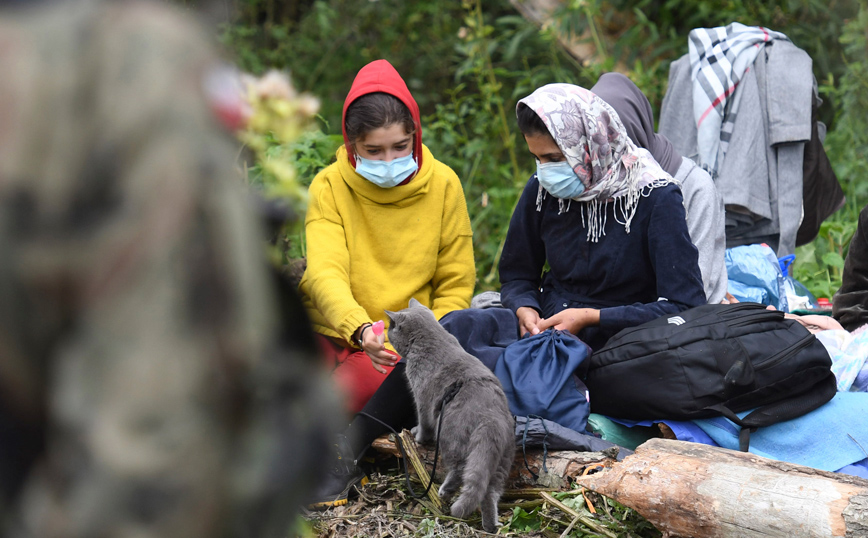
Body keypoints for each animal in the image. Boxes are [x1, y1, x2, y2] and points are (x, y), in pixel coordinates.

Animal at [384, 298, 512, 532]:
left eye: (391, 327)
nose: (386, 334)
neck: (431, 339)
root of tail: (492, 418)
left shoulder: (422, 399)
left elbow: (423, 422)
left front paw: (417, 436)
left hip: (450, 434)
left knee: (460, 468)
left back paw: (445, 491)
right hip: (501, 457)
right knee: (489, 491)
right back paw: (490, 526)